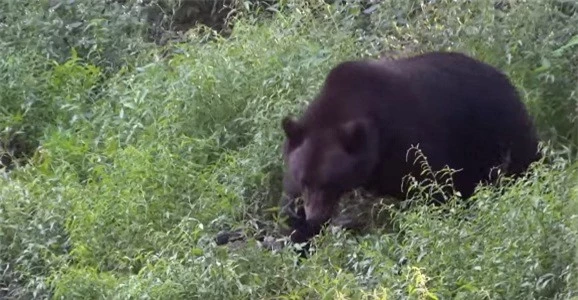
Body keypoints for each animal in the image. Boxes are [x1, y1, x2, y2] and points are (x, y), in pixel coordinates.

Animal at [280, 51, 540, 244]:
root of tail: (506, 79)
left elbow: (436, 186)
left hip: (497, 131)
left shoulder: (410, 142)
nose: (315, 217)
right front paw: (299, 236)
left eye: (330, 182)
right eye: (305, 180)